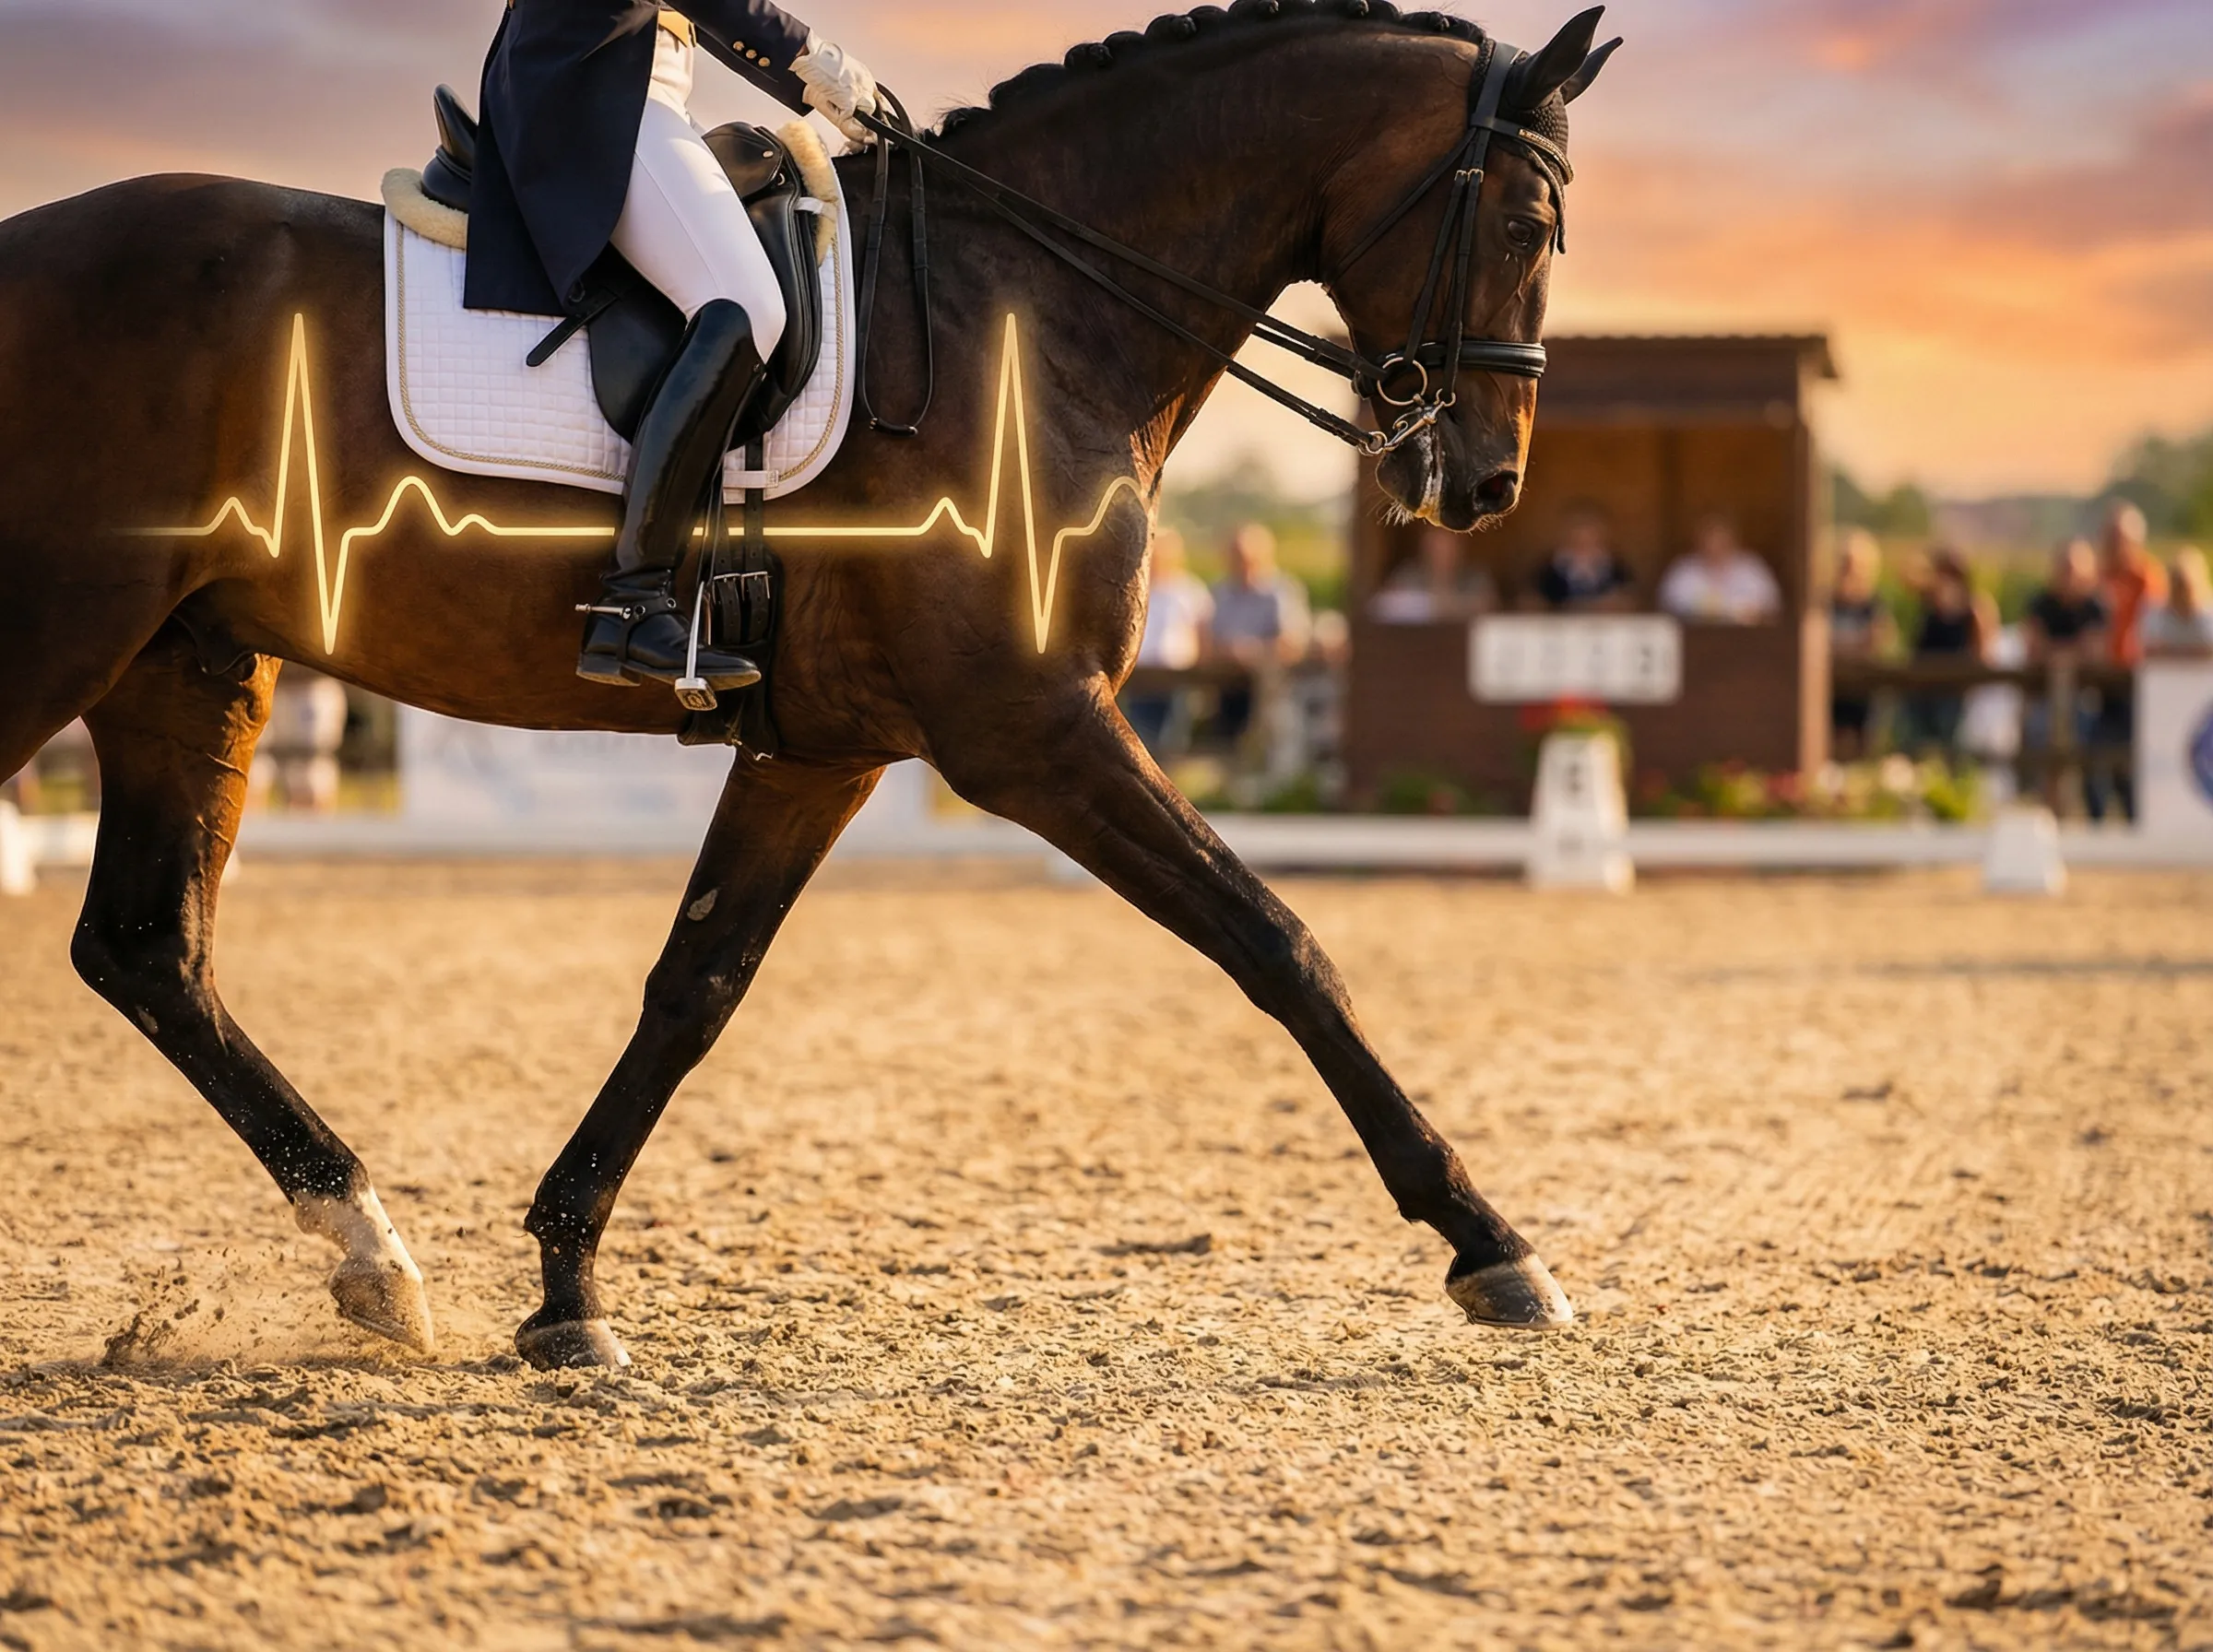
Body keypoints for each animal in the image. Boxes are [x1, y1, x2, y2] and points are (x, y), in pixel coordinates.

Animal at [0, 1, 1614, 1369]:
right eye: (1527, 221)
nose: (1485, 483)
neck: (1029, 315)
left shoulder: (820, 750)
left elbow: (694, 987)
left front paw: (568, 1285)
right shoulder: (1034, 730)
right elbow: (1280, 944)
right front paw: (1493, 1247)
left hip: (187, 663)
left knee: (149, 950)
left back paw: (372, 1256)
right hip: (64, 633)